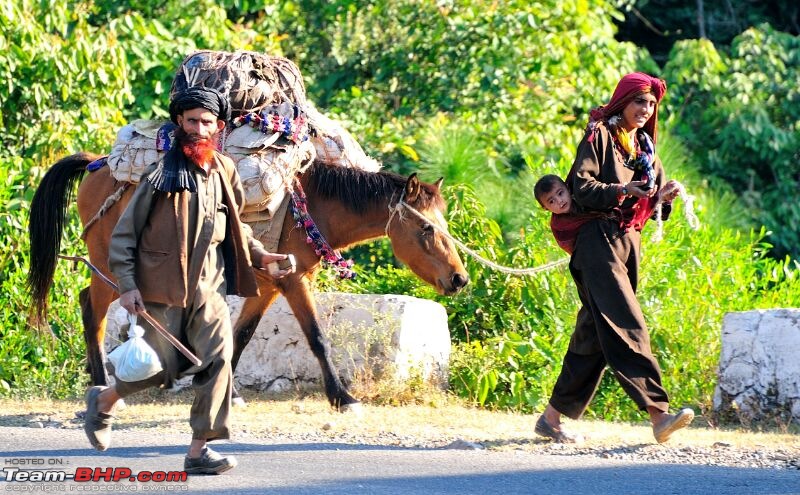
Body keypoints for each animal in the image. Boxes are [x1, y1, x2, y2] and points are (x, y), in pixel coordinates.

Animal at [29, 154, 468, 410]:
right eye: (427, 229)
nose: (460, 278)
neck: (311, 207)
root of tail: (96, 164)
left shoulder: (271, 284)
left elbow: (240, 335)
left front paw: (227, 391)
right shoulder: (294, 281)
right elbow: (317, 337)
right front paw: (343, 397)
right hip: (110, 265)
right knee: (92, 309)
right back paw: (102, 386)